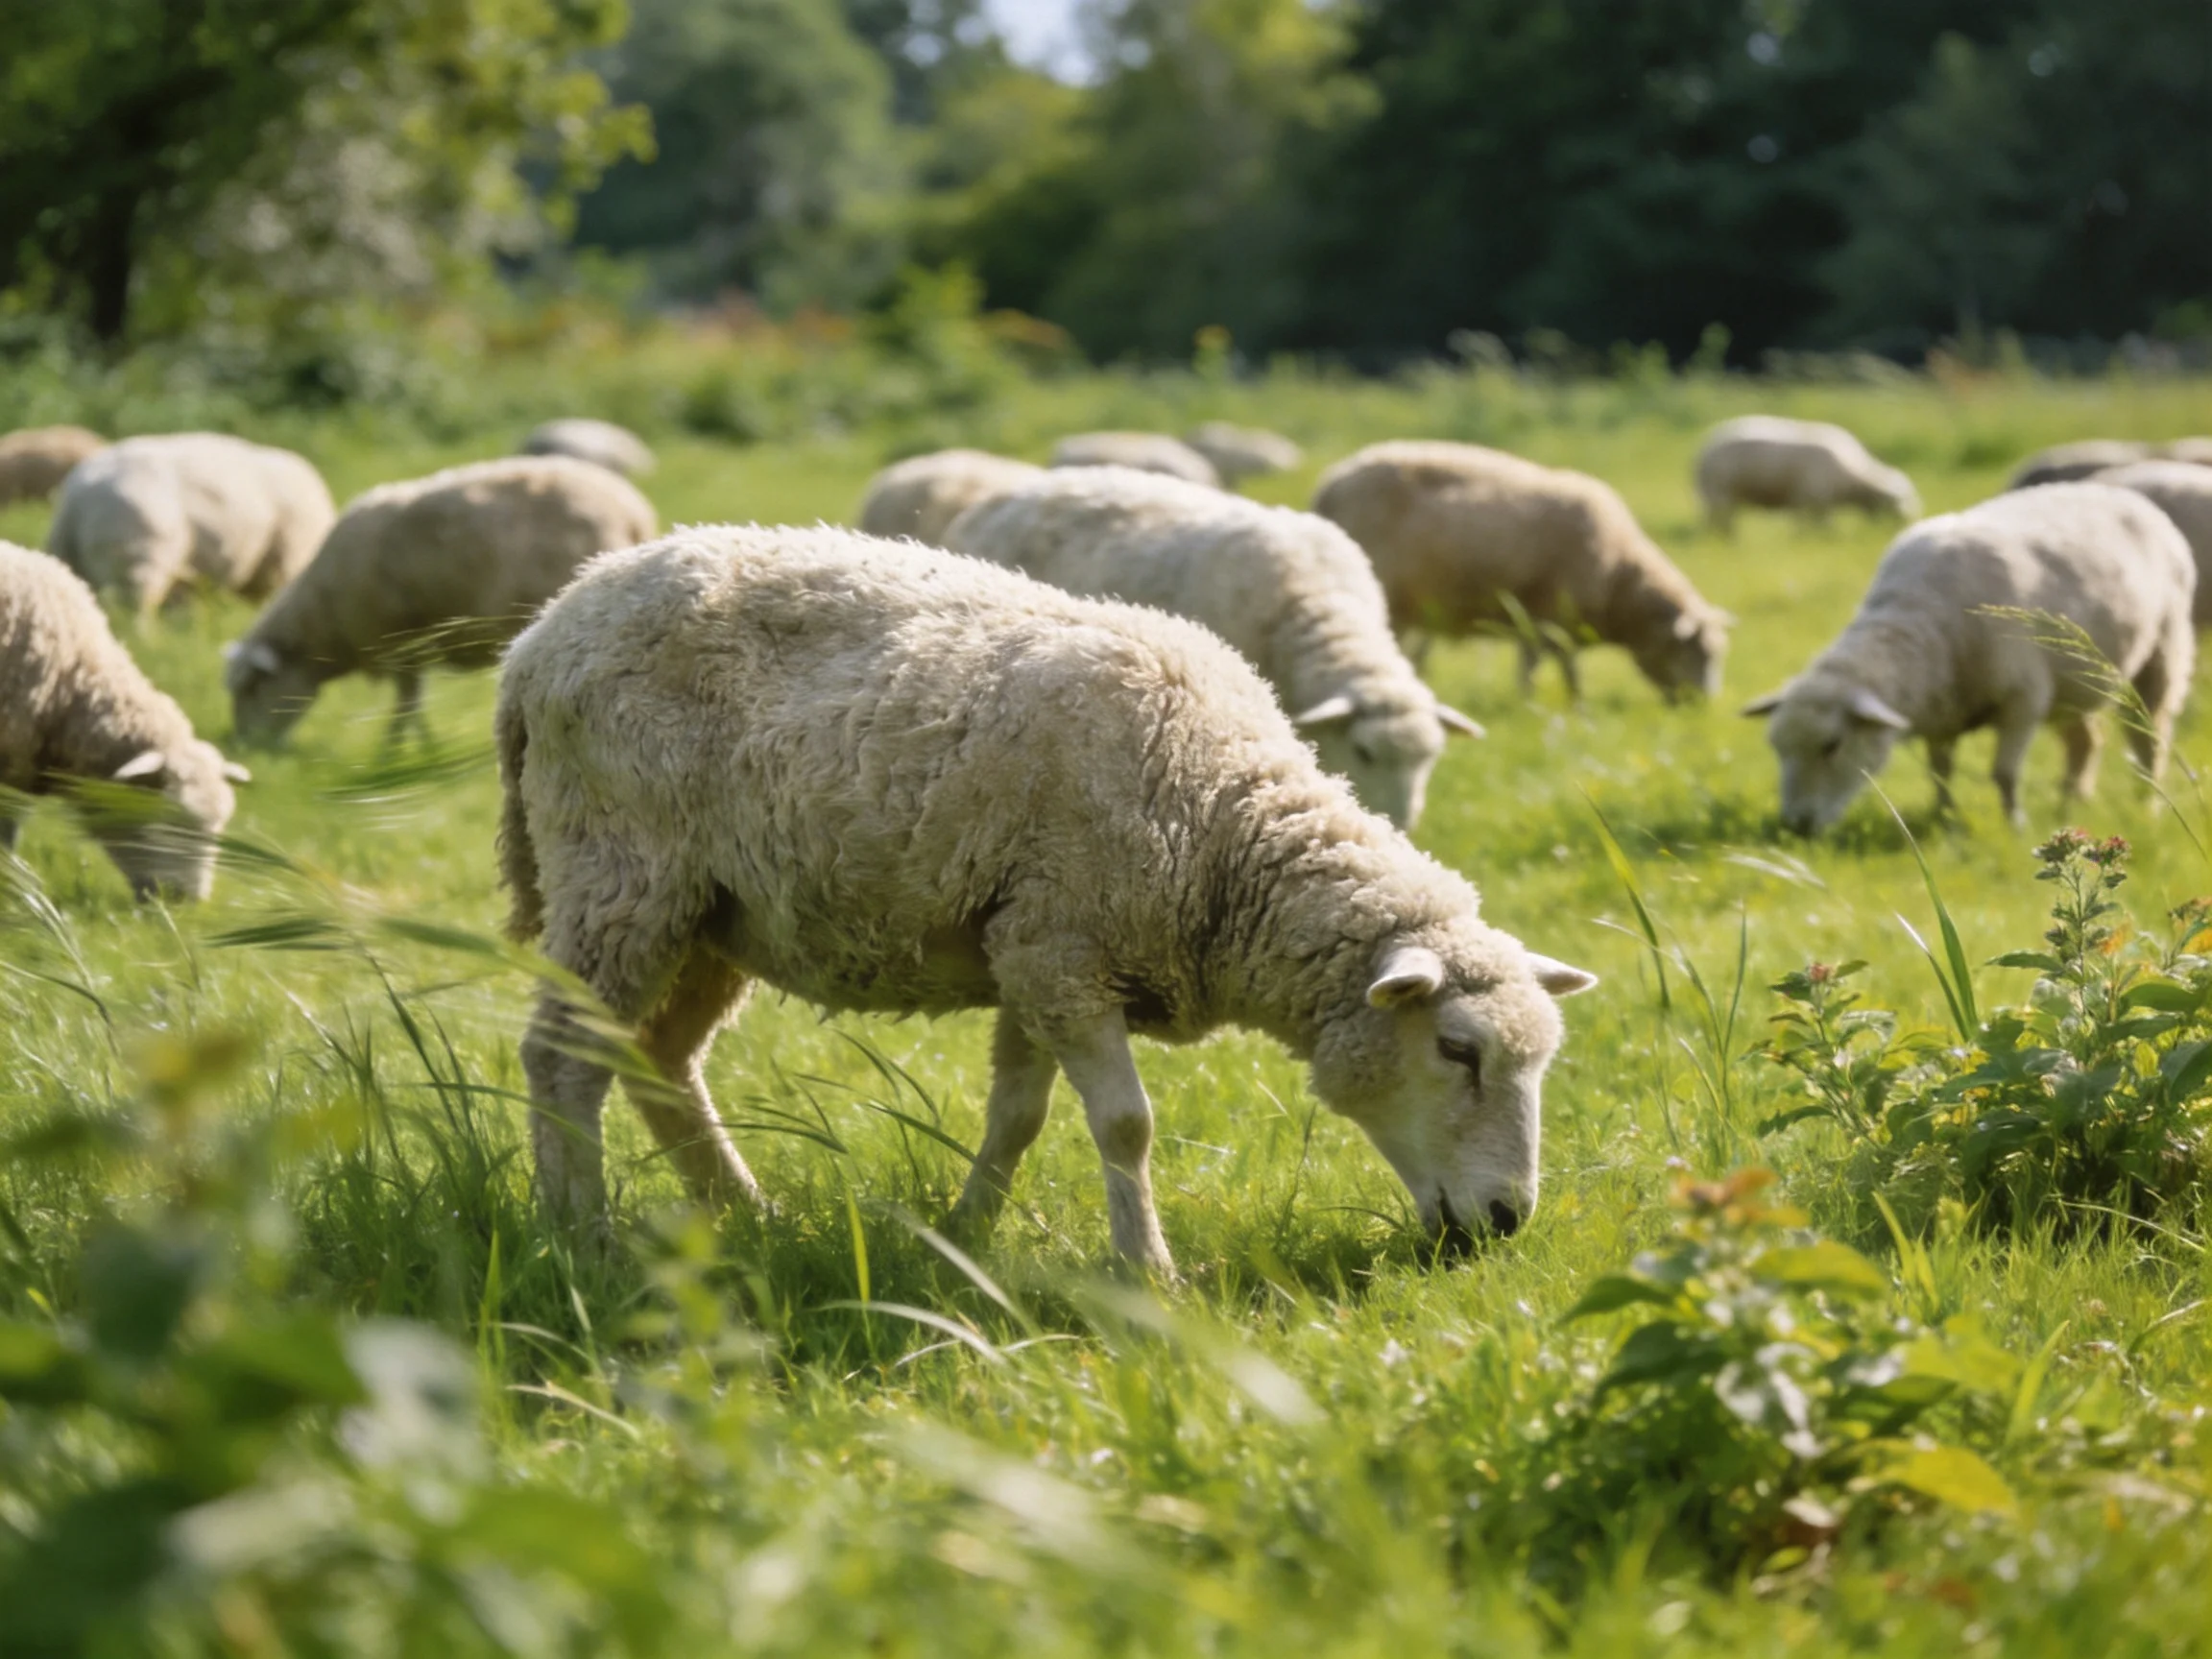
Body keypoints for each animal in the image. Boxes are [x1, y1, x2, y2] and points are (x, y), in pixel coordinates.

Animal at [227, 456, 657, 747]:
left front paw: (399, 751)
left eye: (250, 689)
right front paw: (419, 748)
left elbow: (407, 705)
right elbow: (413, 703)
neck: (322, 619)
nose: (247, 746)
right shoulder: (410, 648)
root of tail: (631, 513)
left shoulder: (398, 643)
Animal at [495, 526, 1596, 1270]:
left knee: (654, 1057)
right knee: (561, 1058)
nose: (1508, 1223)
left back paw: (744, 1214)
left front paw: (965, 1236)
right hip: (620, 874)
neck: (1221, 820)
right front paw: (1147, 1271)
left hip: (711, 914)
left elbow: (1018, 1117)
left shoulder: (1029, 946)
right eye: (1457, 1050)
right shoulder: (1065, 949)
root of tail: (547, 627)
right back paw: (578, 1235)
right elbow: (1126, 1126)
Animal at [1312, 440, 1731, 702]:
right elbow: (1554, 667)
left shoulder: (1542, 620)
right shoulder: (1550, 617)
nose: (1701, 705)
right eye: (1698, 653)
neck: (1619, 578)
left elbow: (1544, 666)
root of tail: (1331, 485)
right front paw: (1560, 704)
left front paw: (1547, 702)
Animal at [1692, 415, 1920, 531]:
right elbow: (1816, 525)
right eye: (1898, 506)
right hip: (1719, 492)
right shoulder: (1814, 498)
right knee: (1720, 520)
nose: (1908, 526)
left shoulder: (1806, 500)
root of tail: (1703, 449)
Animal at [1743, 484, 2194, 833]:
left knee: (2150, 738)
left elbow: (2004, 773)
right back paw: (2070, 803)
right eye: (1777, 748)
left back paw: (2147, 805)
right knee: (2086, 740)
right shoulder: (1942, 713)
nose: (1796, 826)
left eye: (1831, 745)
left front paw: (2015, 826)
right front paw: (1944, 819)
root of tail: (2123, 493)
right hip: (2075, 681)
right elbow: (1939, 772)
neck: (1921, 618)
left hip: (2161, 654)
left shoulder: (2023, 699)